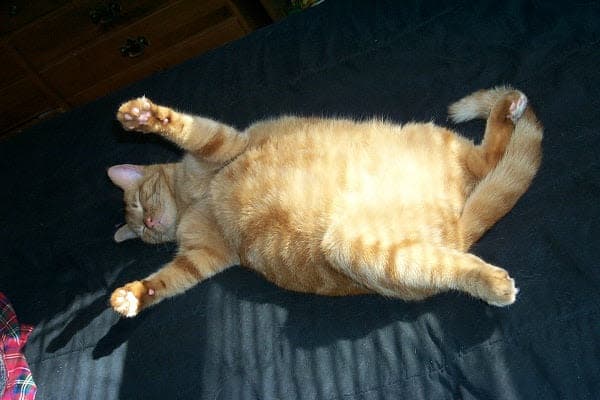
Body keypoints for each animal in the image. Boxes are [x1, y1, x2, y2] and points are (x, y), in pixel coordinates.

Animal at [109, 86, 544, 316]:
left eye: (139, 204)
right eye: (139, 227)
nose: (148, 225)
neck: (192, 202)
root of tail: (458, 224)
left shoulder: (222, 145)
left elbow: (185, 128)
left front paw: (141, 117)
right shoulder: (201, 256)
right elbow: (167, 281)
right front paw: (133, 295)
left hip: (431, 139)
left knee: (489, 156)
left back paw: (508, 108)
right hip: (366, 250)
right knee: (451, 262)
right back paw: (493, 285)